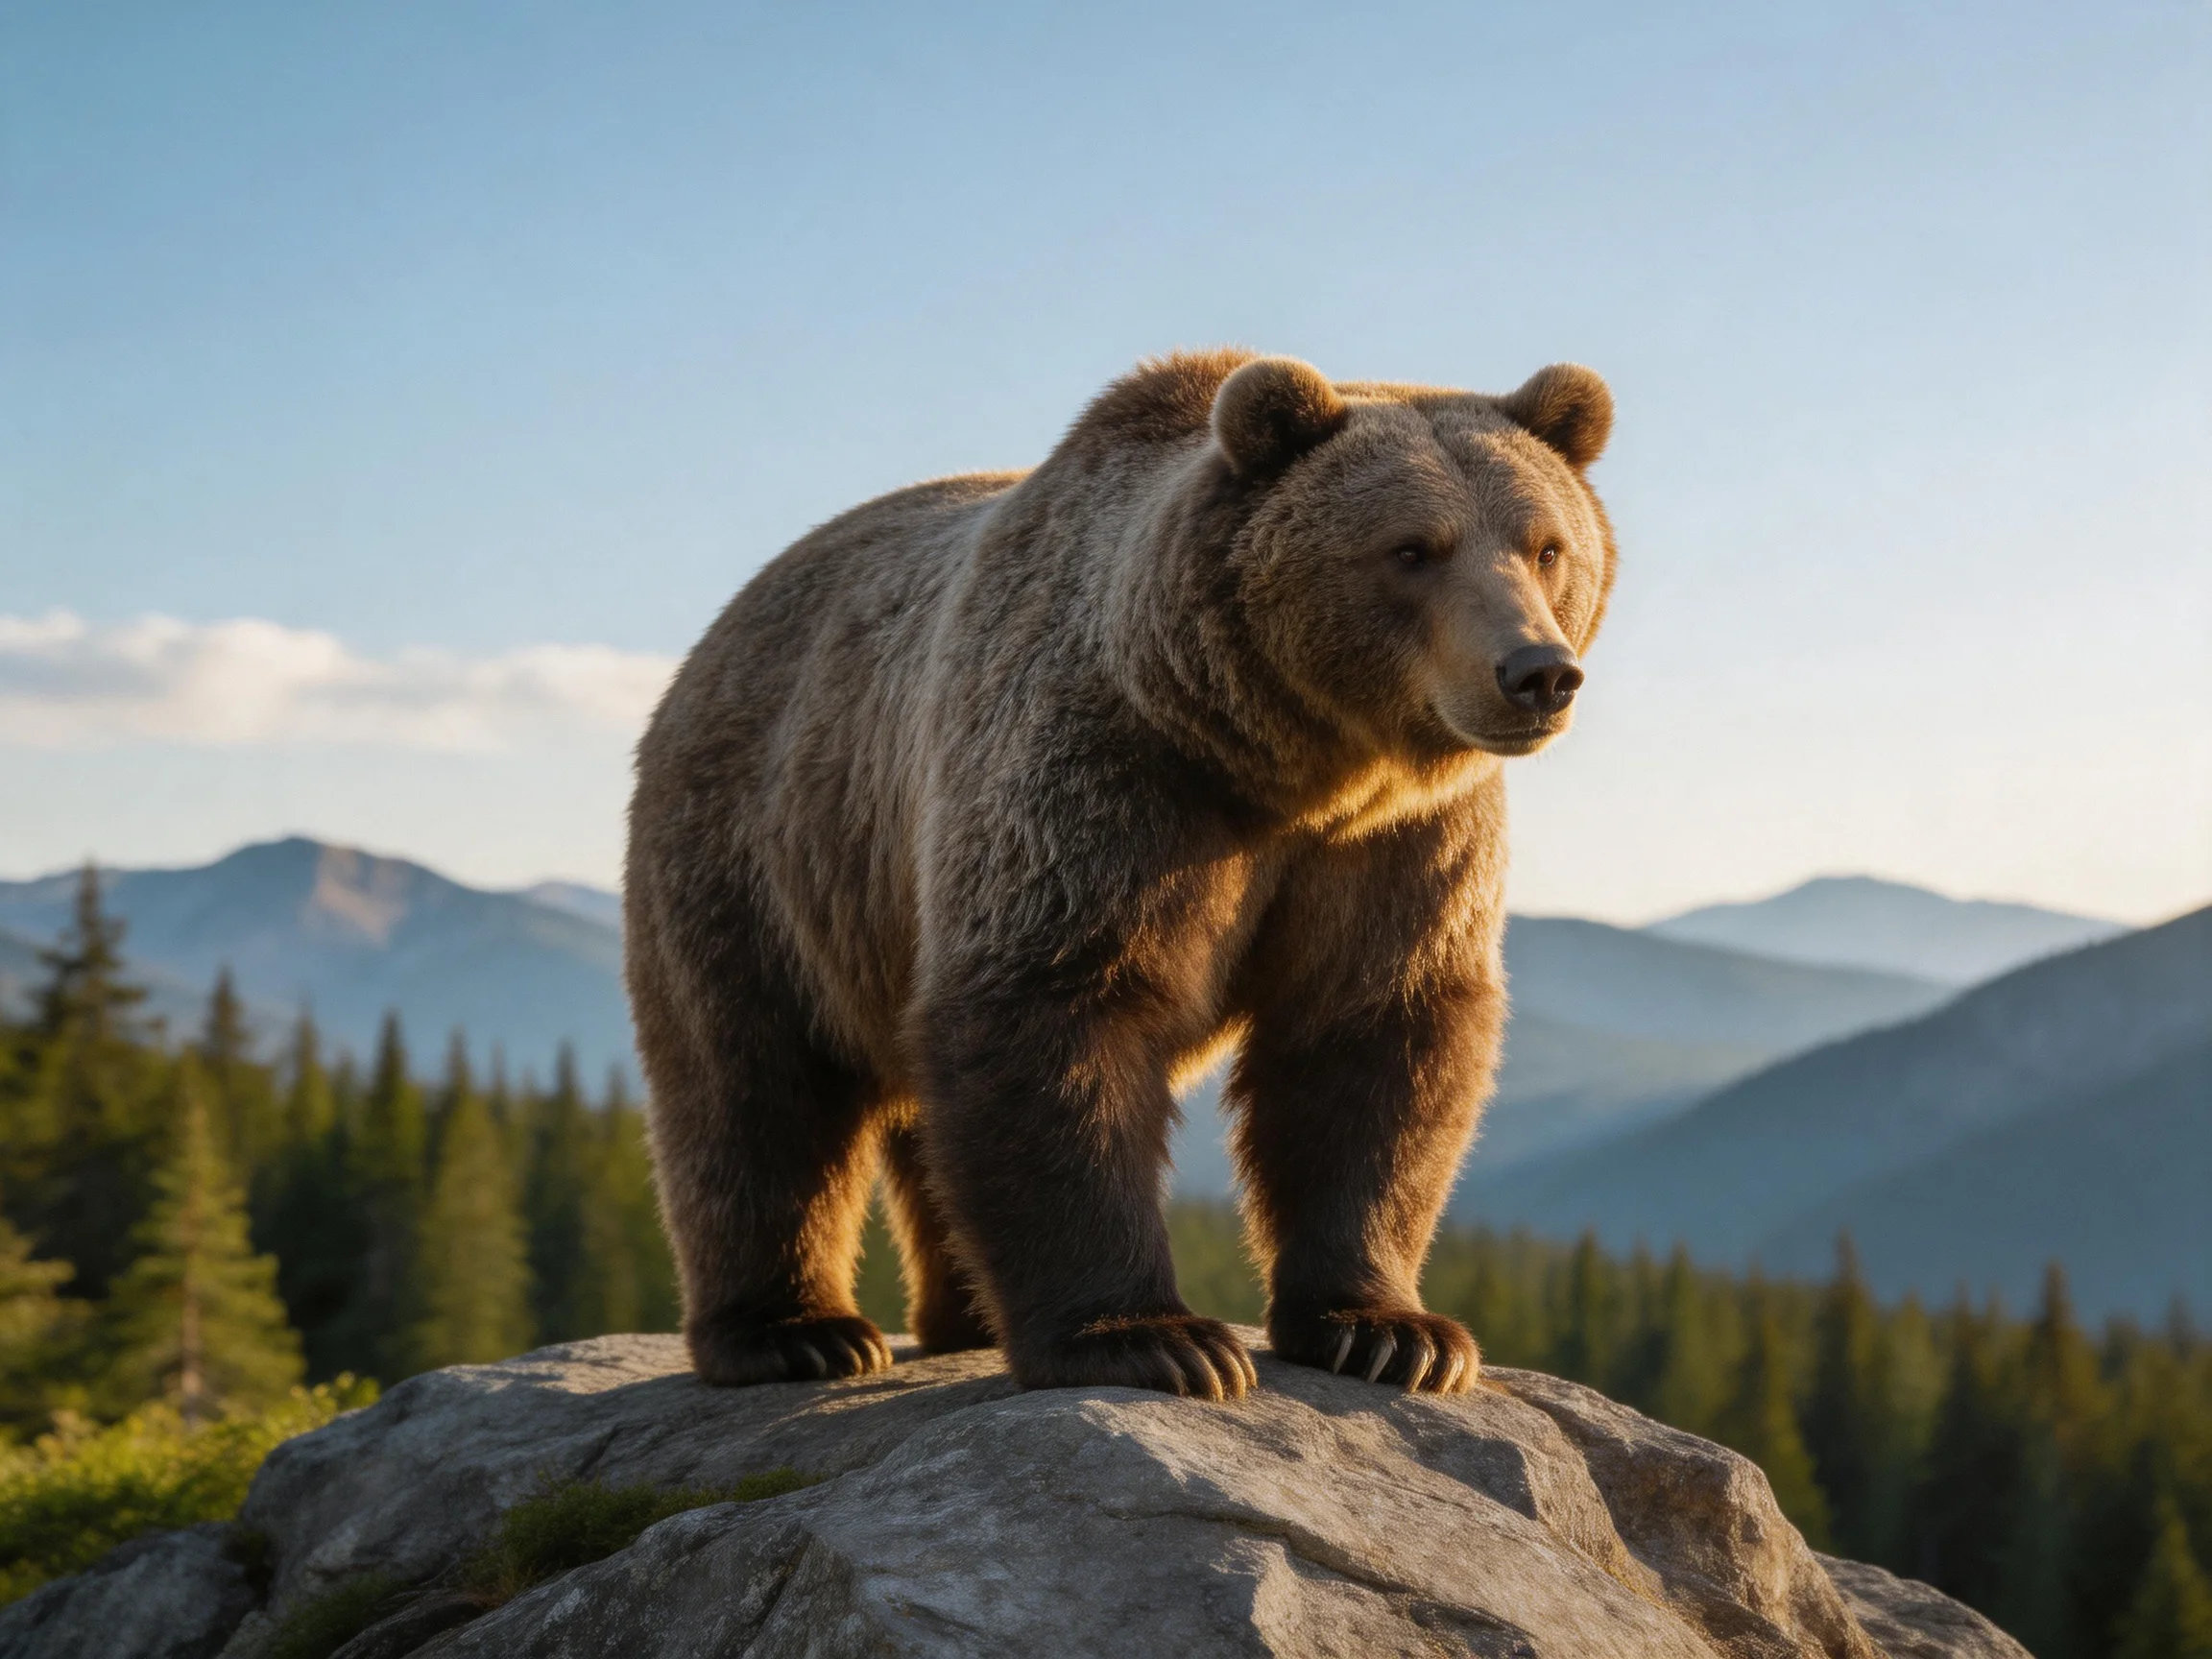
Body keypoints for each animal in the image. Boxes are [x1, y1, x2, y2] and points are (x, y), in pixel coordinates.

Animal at [625, 349, 1615, 1400]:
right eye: (1413, 549)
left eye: (1547, 546)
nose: (1537, 671)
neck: (1297, 770)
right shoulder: (1108, 778)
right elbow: (1060, 1008)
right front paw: (1154, 1339)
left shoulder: (1402, 845)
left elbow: (1376, 1036)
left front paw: (1393, 1334)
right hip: (763, 846)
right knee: (751, 1086)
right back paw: (796, 1332)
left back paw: (962, 1313)